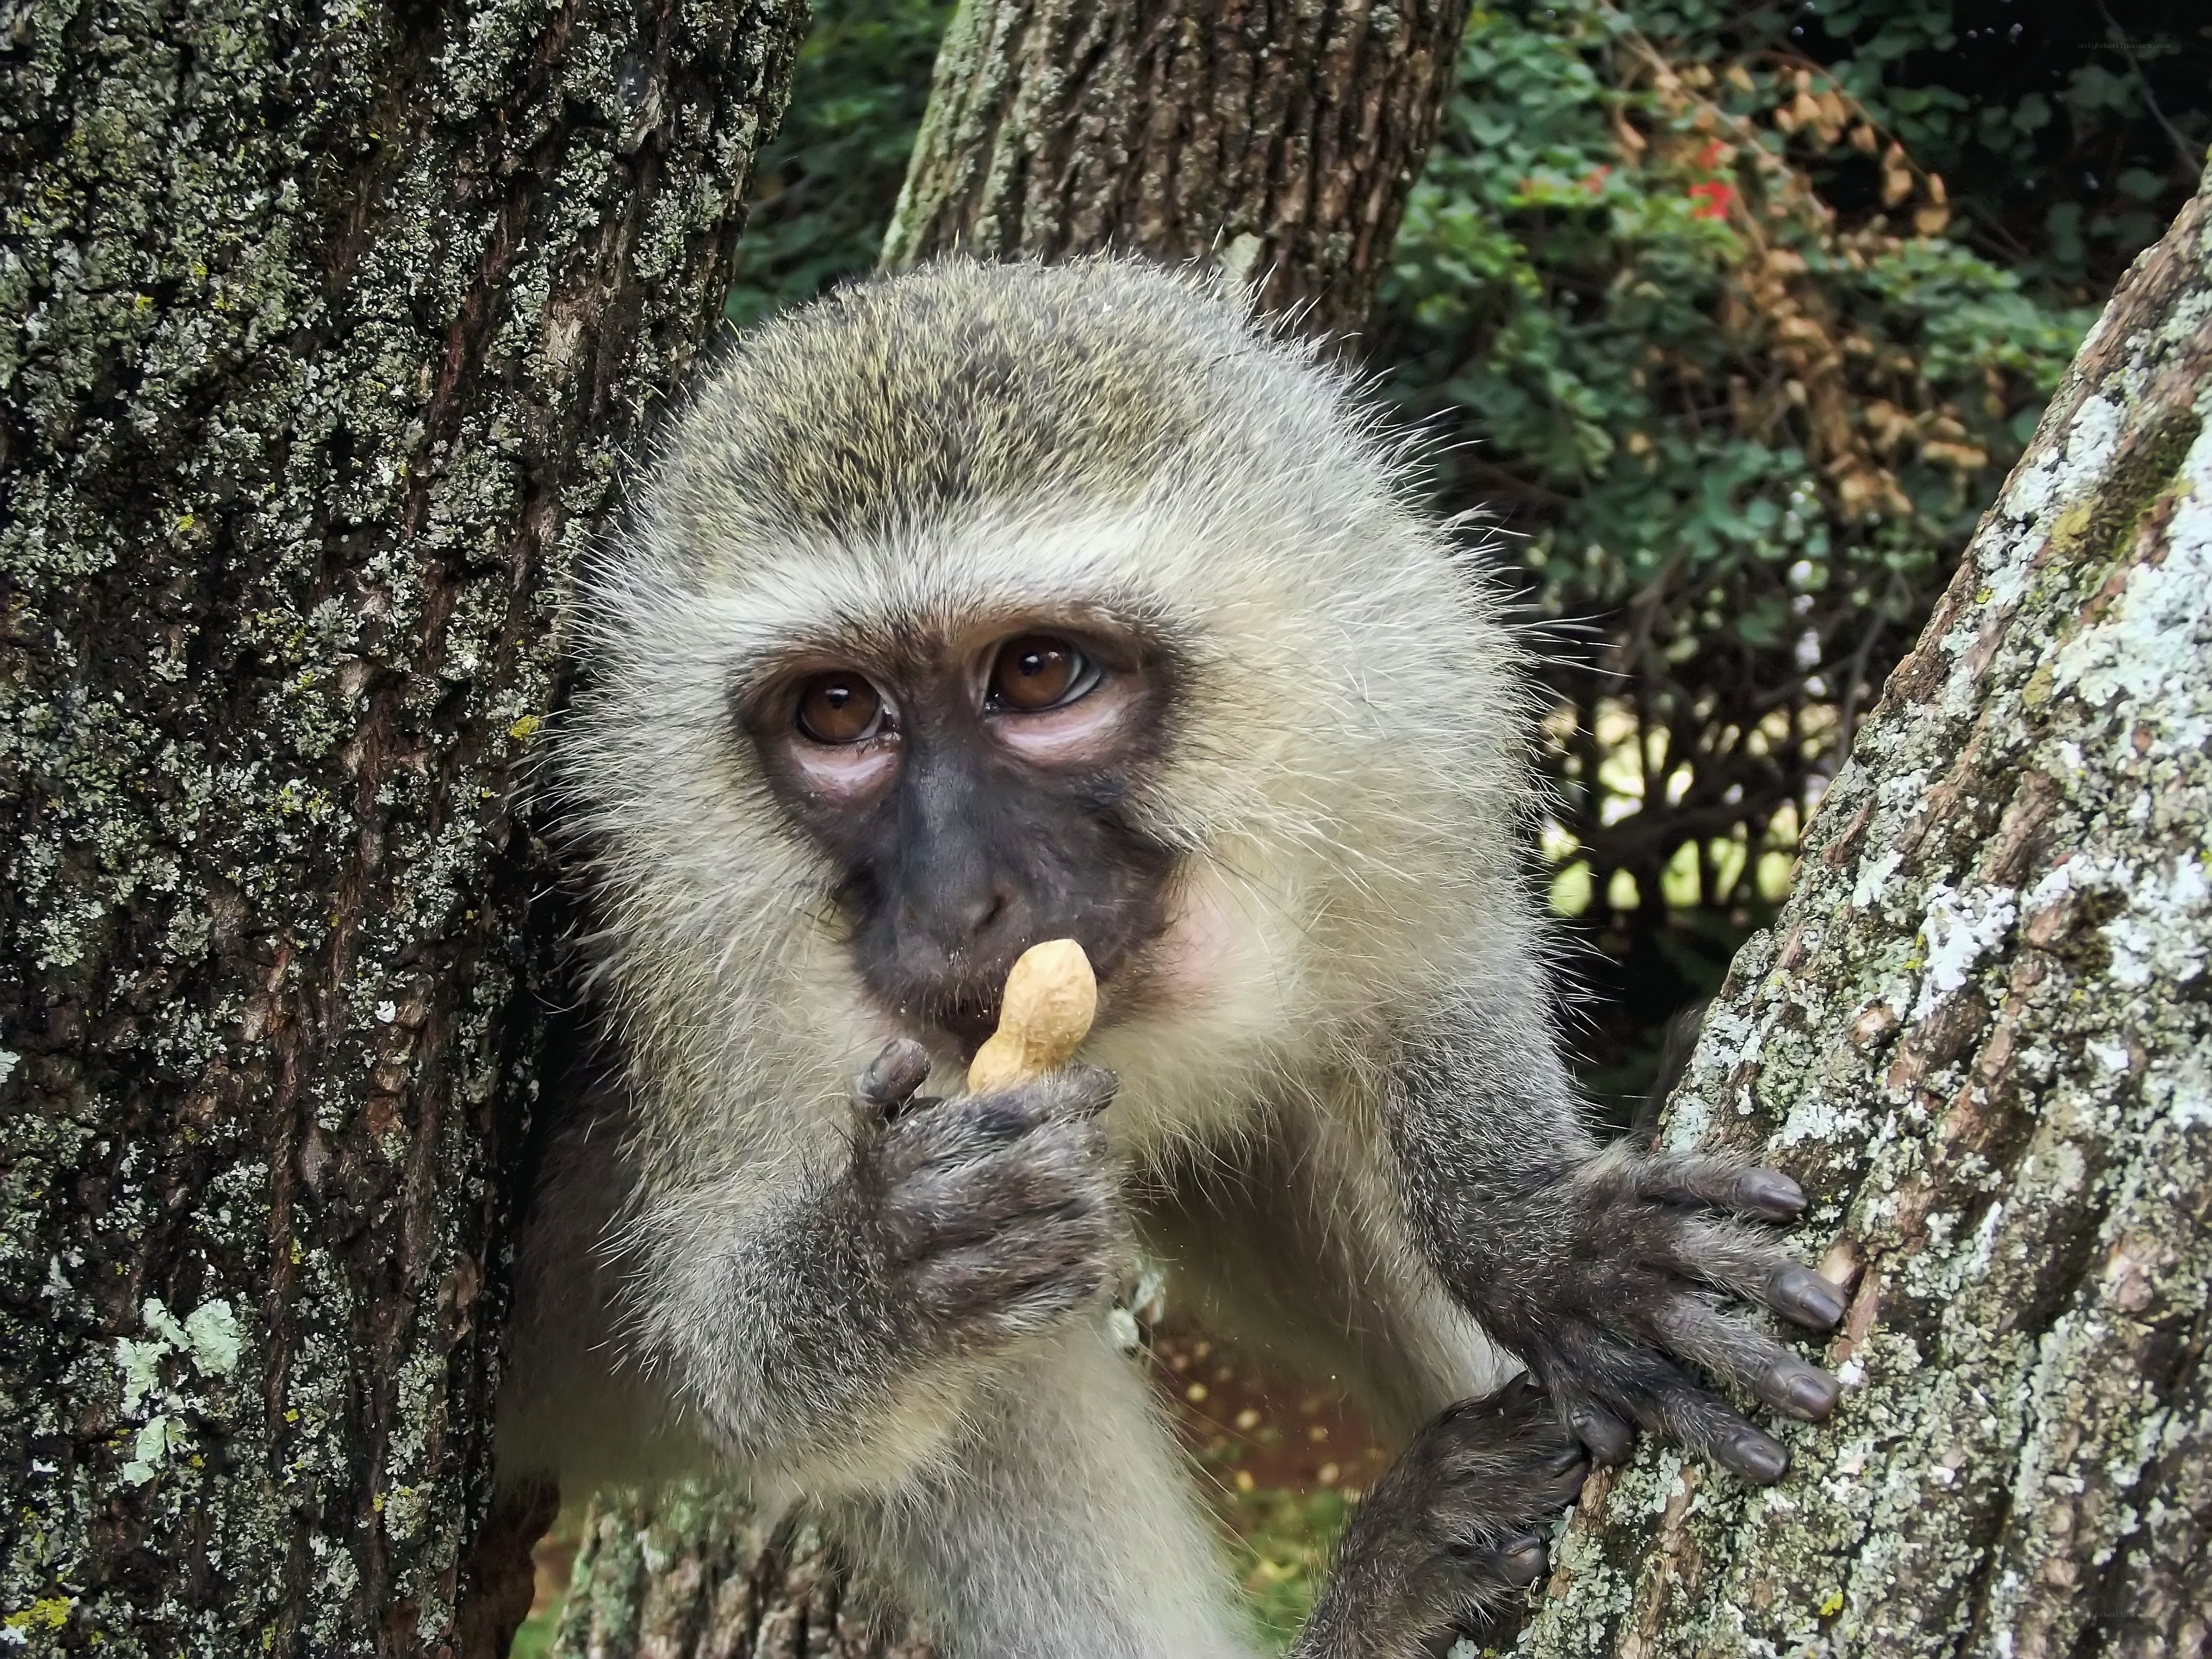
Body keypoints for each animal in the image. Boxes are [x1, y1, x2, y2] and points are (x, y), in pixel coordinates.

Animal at [495, 255, 1846, 1657]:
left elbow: (1434, 970)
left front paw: (1527, 1236)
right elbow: (732, 1355)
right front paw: (883, 1263)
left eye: (1039, 673)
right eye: (835, 711)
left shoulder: (1389, 724)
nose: (952, 904)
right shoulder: (700, 956)